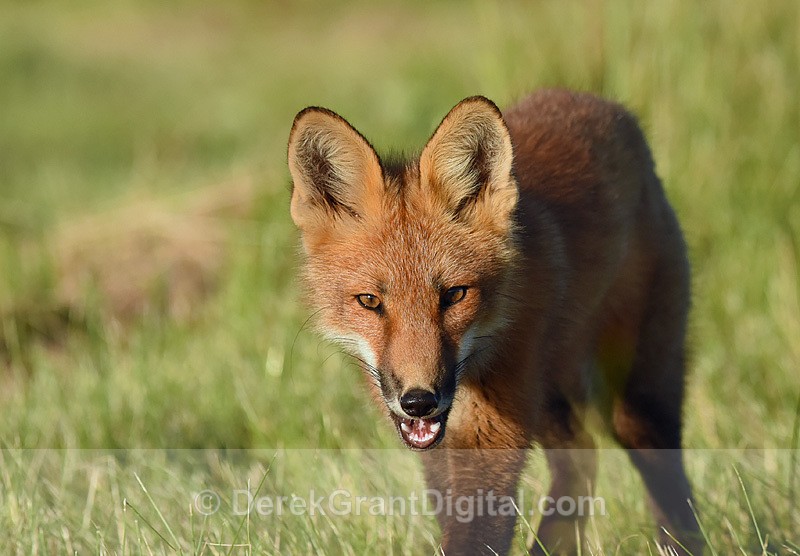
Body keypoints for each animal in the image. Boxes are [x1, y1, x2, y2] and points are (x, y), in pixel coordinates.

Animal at [287, 89, 702, 555]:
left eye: (454, 295)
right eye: (370, 302)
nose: (419, 401)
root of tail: (595, 101)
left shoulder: (491, 435)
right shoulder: (443, 445)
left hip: (636, 394)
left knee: (660, 471)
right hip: (548, 399)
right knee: (582, 459)